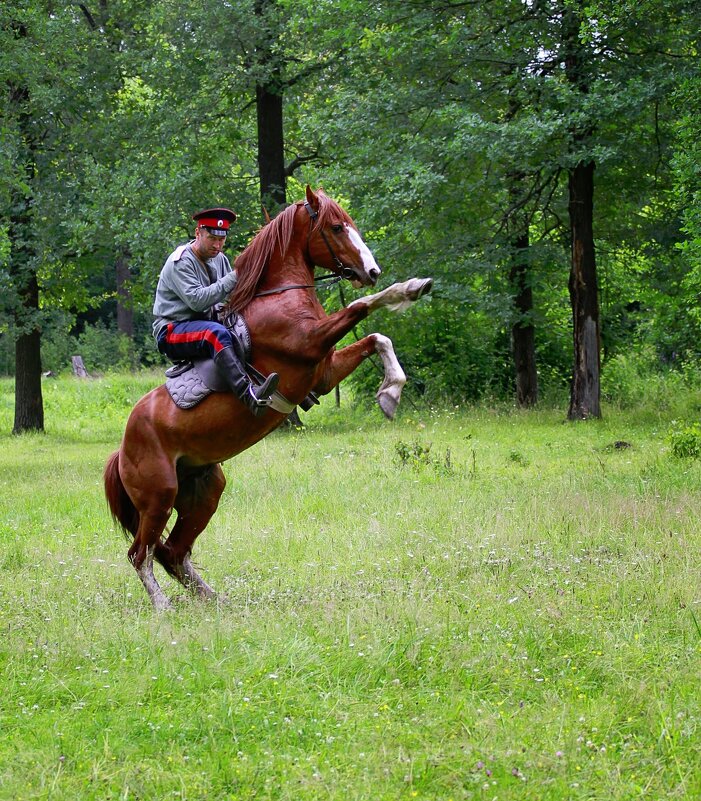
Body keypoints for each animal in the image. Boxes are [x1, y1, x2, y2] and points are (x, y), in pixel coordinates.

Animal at [104, 186, 432, 612]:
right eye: (336, 226)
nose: (371, 271)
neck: (279, 296)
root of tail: (123, 447)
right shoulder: (309, 343)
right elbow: (361, 306)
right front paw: (409, 288)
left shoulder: (323, 371)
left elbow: (379, 339)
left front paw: (390, 392)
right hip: (159, 497)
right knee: (141, 554)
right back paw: (163, 606)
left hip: (203, 490)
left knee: (173, 552)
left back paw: (214, 599)